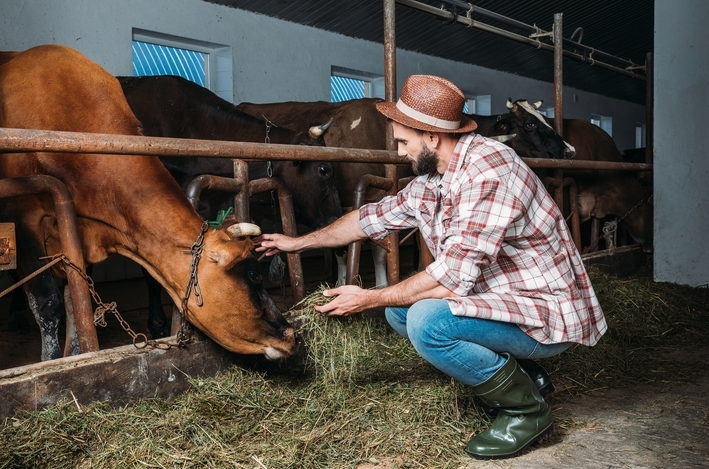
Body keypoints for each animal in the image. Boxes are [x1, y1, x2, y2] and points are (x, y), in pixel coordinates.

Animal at [0, 44, 296, 358]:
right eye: (252, 274)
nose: (292, 335)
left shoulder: (76, 231)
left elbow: (76, 299)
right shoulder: (23, 218)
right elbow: (49, 302)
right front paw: (53, 359)